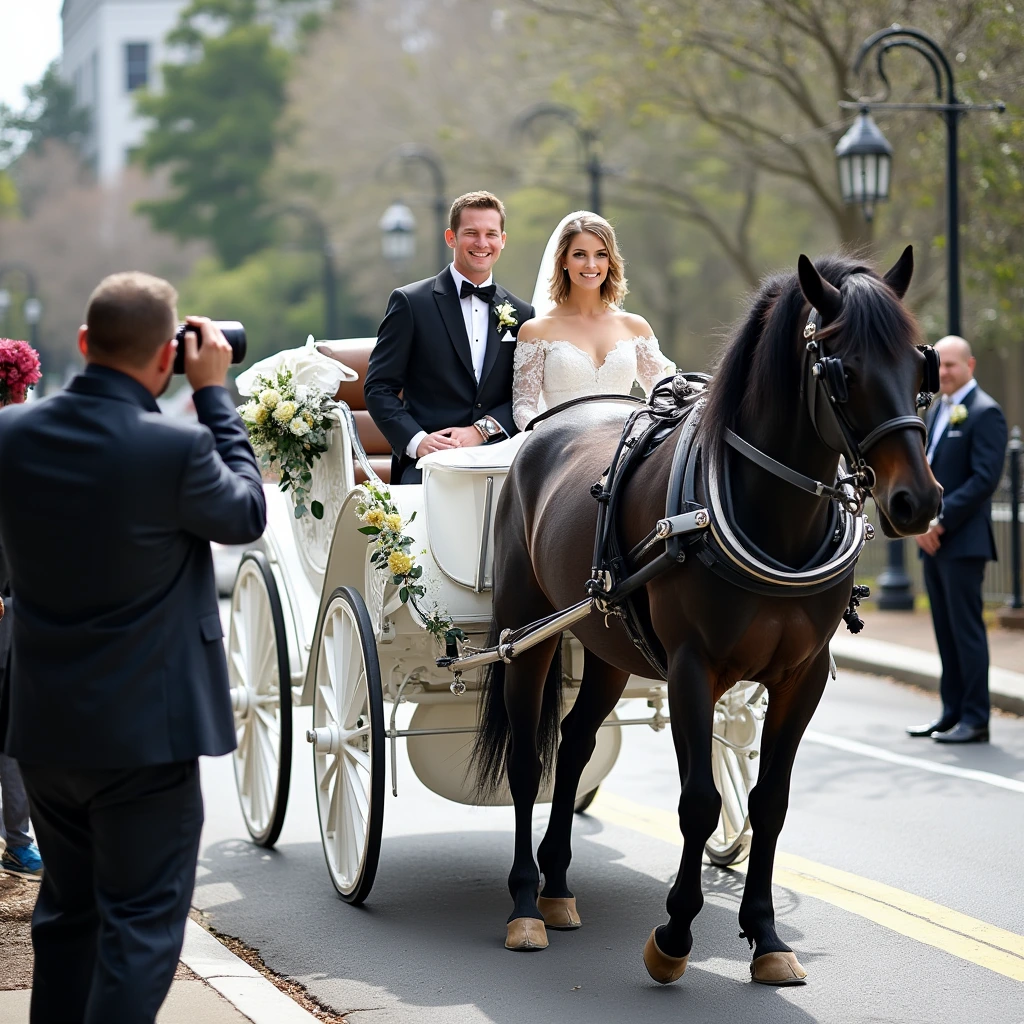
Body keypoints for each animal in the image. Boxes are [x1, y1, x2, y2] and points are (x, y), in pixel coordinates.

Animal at [471, 247, 942, 983]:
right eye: (842, 369)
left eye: (920, 365)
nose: (917, 501)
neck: (769, 518)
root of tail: (543, 432)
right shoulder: (694, 667)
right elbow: (699, 801)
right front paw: (673, 937)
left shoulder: (801, 675)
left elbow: (769, 802)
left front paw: (767, 937)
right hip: (527, 636)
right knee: (527, 760)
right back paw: (524, 905)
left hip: (607, 645)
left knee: (573, 746)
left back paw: (557, 887)